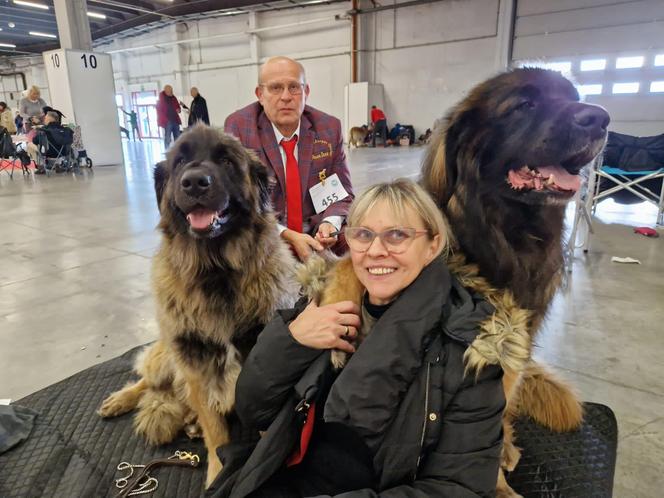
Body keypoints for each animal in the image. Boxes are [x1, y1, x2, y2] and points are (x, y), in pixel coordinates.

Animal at [98, 124, 298, 486]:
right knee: (149, 379)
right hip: (167, 354)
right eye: (179, 162)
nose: (194, 182)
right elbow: (216, 432)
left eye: (226, 160)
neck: (216, 271)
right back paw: (121, 400)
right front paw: (219, 475)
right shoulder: (194, 361)